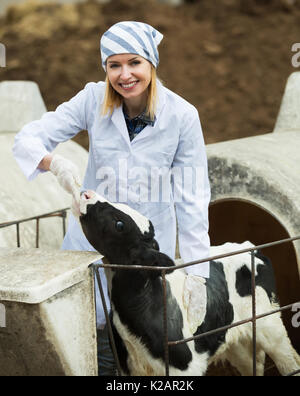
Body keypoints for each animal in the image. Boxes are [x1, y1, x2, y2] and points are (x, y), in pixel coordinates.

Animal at [78, 190, 298, 376]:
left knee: (291, 362)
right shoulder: (129, 368)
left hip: (269, 325)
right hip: (238, 341)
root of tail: (249, 246)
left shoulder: (185, 367)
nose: (86, 193)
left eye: (119, 224)